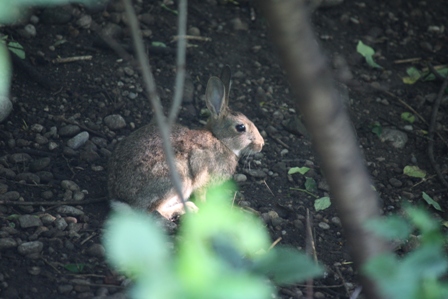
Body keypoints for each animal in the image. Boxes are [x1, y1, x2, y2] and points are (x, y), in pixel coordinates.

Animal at [107, 67, 264, 221]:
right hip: (178, 180)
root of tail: (123, 200)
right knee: (154, 211)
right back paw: (188, 208)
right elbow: (201, 194)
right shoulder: (202, 176)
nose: (261, 144)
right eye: (241, 127)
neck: (220, 140)